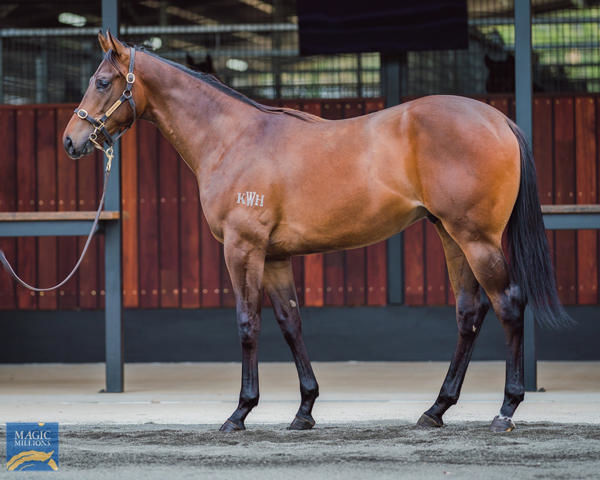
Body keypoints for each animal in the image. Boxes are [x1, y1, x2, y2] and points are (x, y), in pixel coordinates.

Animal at [63, 31, 568, 434]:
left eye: (102, 82)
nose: (71, 140)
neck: (234, 139)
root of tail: (498, 119)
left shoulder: (243, 250)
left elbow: (248, 324)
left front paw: (239, 413)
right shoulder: (275, 256)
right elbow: (291, 323)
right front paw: (304, 410)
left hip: (476, 238)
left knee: (509, 304)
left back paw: (505, 410)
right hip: (451, 235)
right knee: (469, 312)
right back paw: (436, 410)